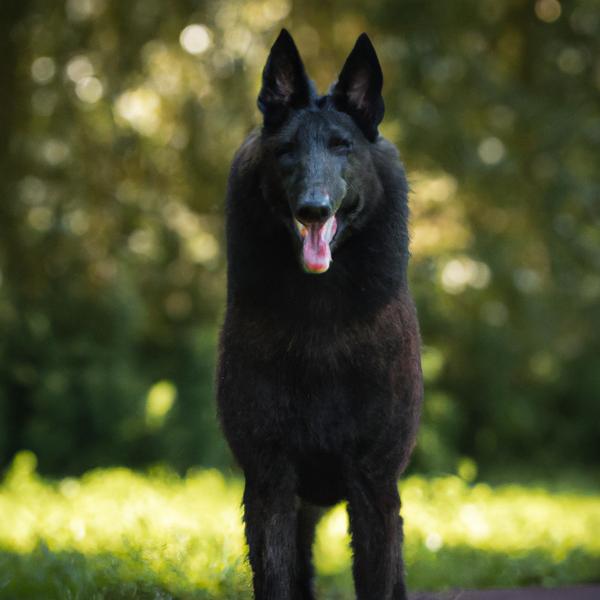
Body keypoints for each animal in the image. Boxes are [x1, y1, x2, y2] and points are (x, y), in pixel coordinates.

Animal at [217, 29, 422, 600]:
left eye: (341, 146)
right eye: (286, 150)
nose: (313, 208)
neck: (319, 323)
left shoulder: (374, 484)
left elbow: (378, 579)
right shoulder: (270, 480)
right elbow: (276, 578)